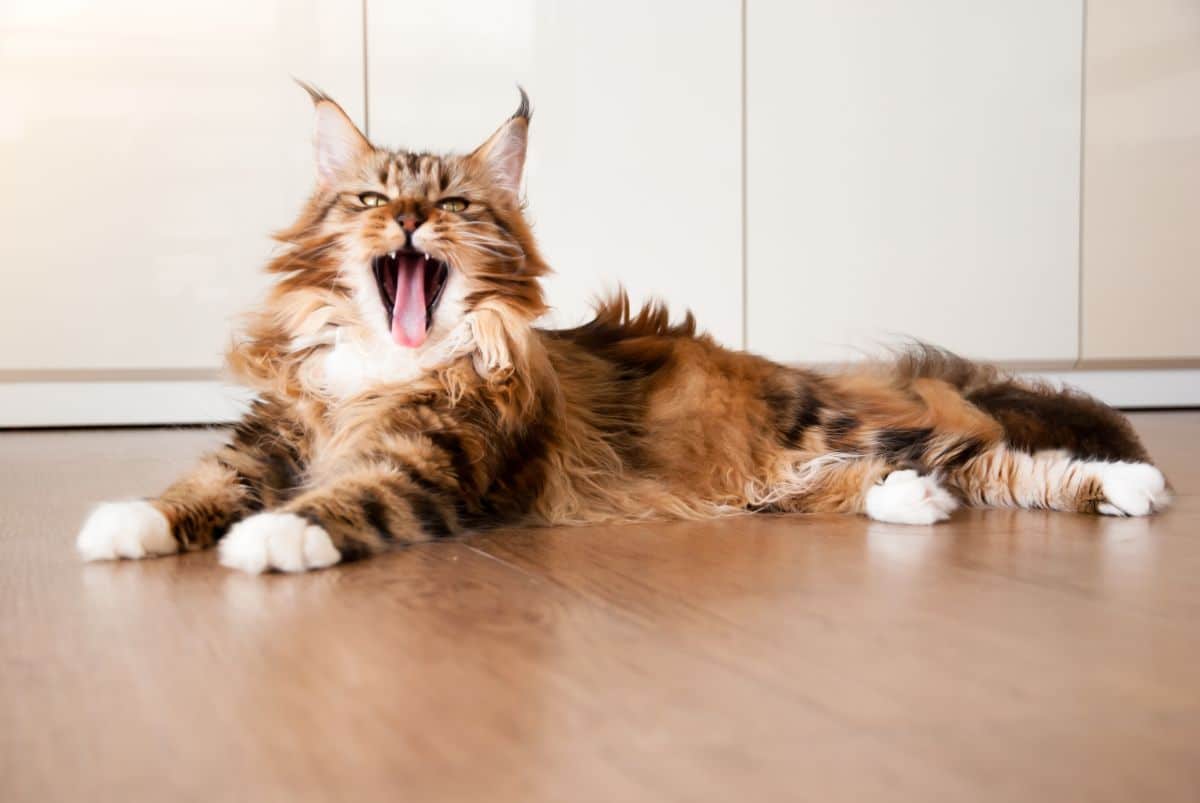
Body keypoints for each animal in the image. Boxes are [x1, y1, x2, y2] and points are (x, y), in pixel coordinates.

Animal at [75, 87, 1171, 573]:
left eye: (455, 204)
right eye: (372, 198)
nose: (410, 220)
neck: (384, 370)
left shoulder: (424, 465)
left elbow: (337, 499)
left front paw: (269, 538)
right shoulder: (265, 439)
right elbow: (195, 487)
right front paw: (124, 523)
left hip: (844, 429)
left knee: (1002, 460)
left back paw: (1128, 484)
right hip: (789, 476)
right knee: (892, 482)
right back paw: (913, 505)